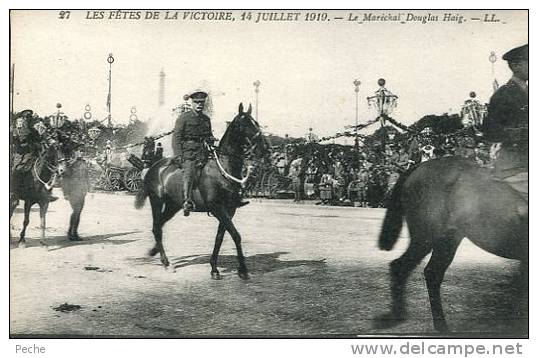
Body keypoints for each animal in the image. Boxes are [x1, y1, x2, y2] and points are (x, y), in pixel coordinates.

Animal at [134, 103, 268, 280]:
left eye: (256, 123)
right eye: (243, 124)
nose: (265, 148)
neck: (222, 169)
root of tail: (153, 167)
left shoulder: (229, 210)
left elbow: (220, 237)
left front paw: (215, 268)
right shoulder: (217, 208)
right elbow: (235, 235)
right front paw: (243, 270)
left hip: (173, 205)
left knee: (160, 225)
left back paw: (154, 251)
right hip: (156, 201)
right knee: (156, 227)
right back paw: (166, 262)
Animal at [374, 158, 524, 332]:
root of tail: (419, 167)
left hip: (448, 240)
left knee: (431, 273)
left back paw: (438, 324)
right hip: (426, 238)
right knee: (401, 266)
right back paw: (402, 315)